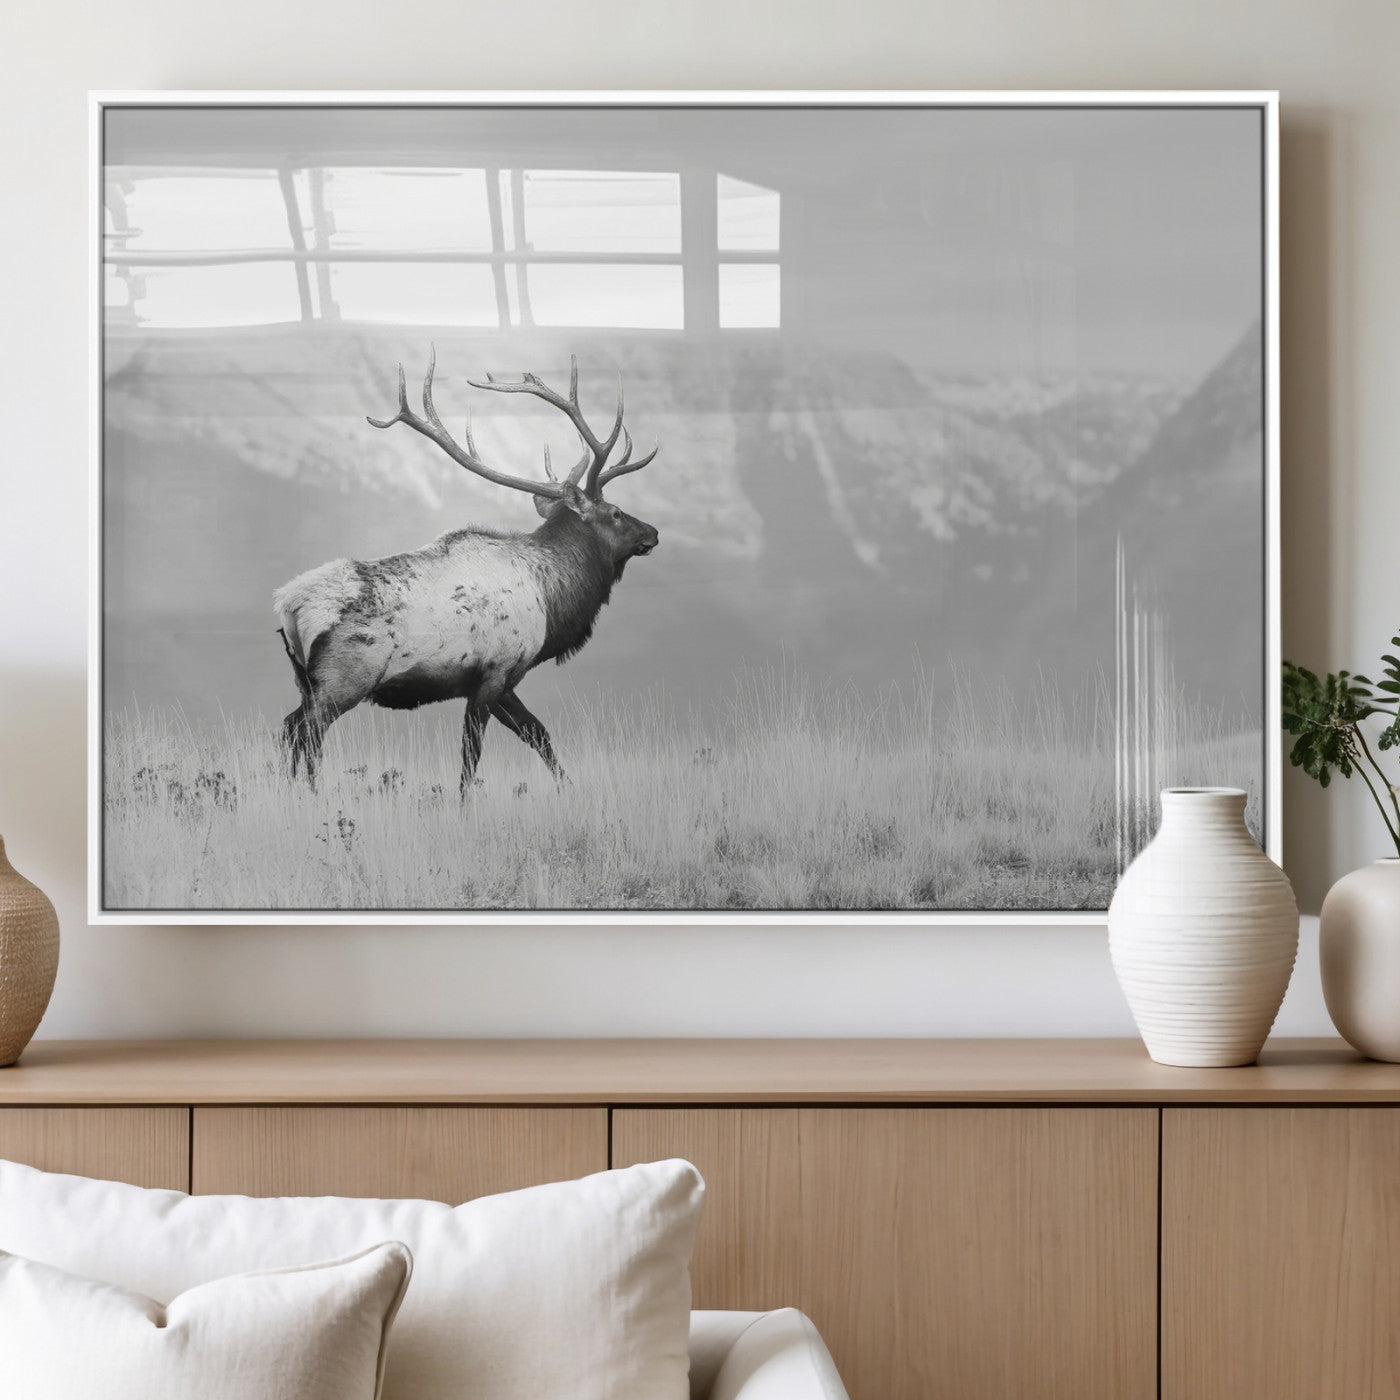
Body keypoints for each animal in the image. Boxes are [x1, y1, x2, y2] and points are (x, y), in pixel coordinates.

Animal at [273, 351, 661, 794]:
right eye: (615, 513)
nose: (653, 533)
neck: (551, 598)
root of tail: (288, 604)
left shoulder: (503, 682)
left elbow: (539, 734)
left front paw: (570, 789)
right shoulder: (495, 671)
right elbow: (471, 755)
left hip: (305, 680)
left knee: (289, 727)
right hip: (343, 678)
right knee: (307, 732)